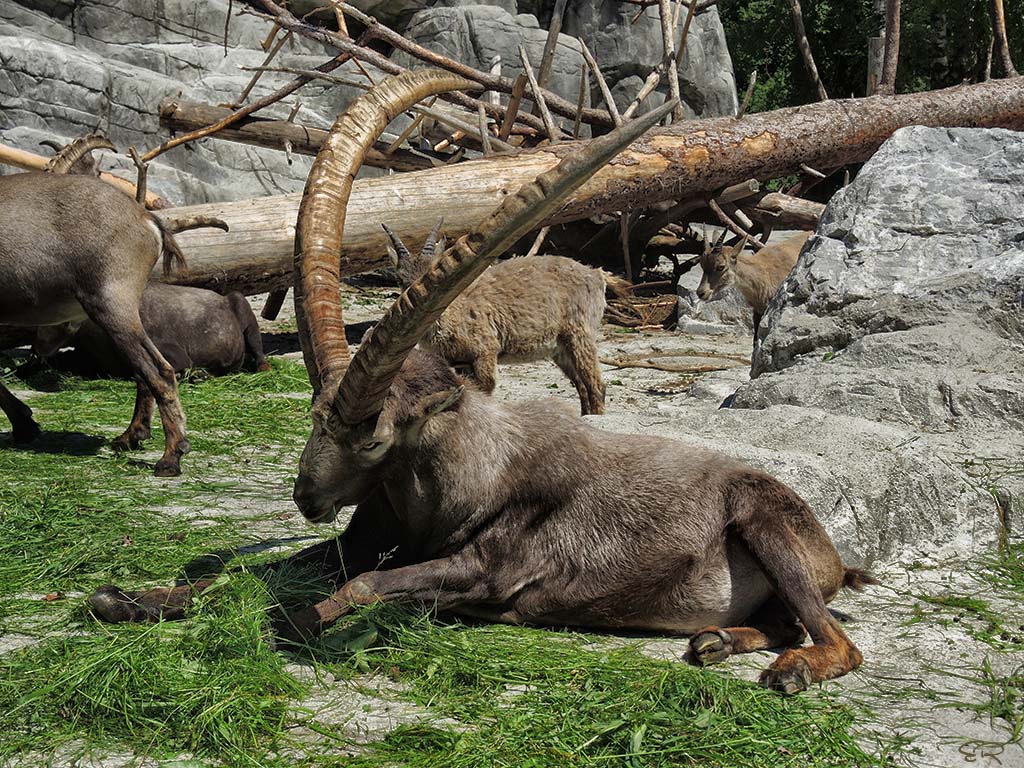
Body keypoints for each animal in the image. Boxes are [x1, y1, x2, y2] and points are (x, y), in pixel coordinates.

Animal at [0, 138, 193, 475]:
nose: (40, 347)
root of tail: (147, 221)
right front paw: (26, 426)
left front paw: (25, 426)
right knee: (144, 371)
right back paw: (130, 437)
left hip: (110, 305)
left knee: (159, 371)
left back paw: (170, 457)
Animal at [385, 222, 606, 415]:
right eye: (399, 279)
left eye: (434, 272)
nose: (417, 302)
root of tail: (596, 275)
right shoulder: (459, 362)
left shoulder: (485, 351)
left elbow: (486, 388)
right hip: (560, 348)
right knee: (582, 385)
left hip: (579, 331)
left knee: (596, 385)